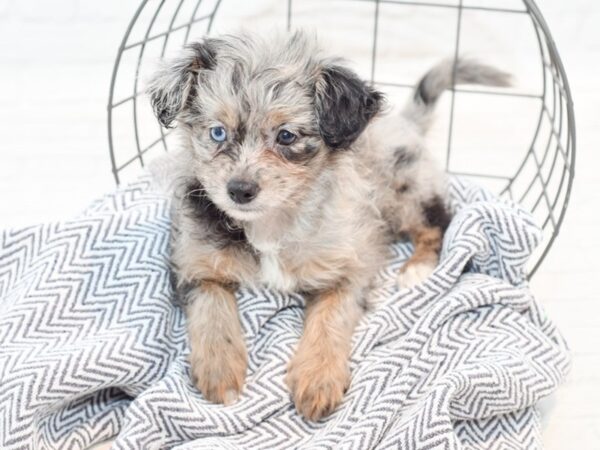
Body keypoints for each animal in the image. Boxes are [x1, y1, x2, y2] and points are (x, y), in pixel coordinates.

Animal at [148, 31, 508, 422]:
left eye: (286, 136)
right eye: (217, 132)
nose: (239, 191)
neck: (271, 221)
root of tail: (406, 123)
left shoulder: (348, 268)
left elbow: (330, 318)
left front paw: (318, 378)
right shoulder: (193, 262)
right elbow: (211, 308)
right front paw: (219, 369)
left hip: (406, 188)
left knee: (437, 220)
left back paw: (418, 268)